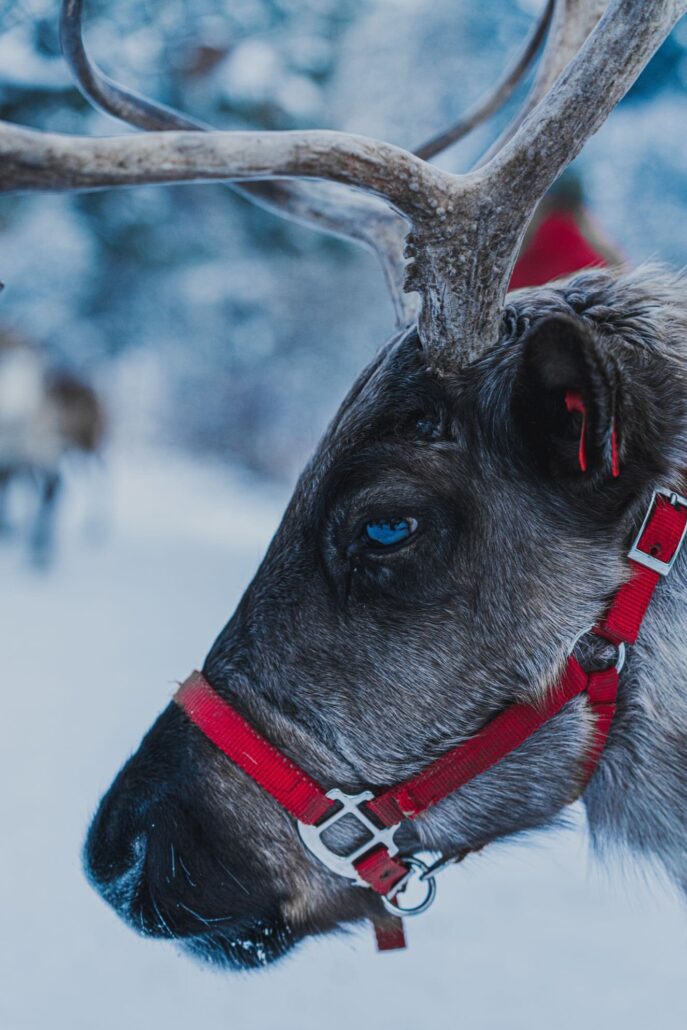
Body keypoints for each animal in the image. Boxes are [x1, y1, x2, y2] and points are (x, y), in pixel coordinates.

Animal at [0, 325, 104, 564]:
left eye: (23, 358)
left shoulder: (47, 455)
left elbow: (51, 491)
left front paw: (40, 552)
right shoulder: (12, 457)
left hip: (90, 443)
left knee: (98, 475)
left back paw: (96, 525)